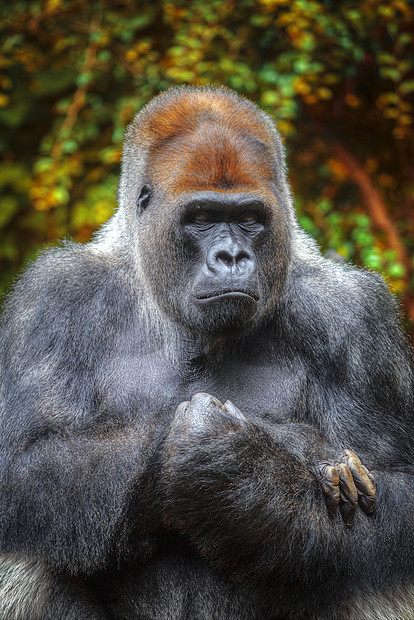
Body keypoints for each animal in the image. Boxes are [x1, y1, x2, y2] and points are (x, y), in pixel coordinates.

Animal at [0, 87, 414, 620]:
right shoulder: (50, 298)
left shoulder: (356, 317)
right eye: (201, 219)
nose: (231, 257)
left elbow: (399, 496)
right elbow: (22, 464)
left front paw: (238, 469)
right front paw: (283, 446)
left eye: (249, 219)